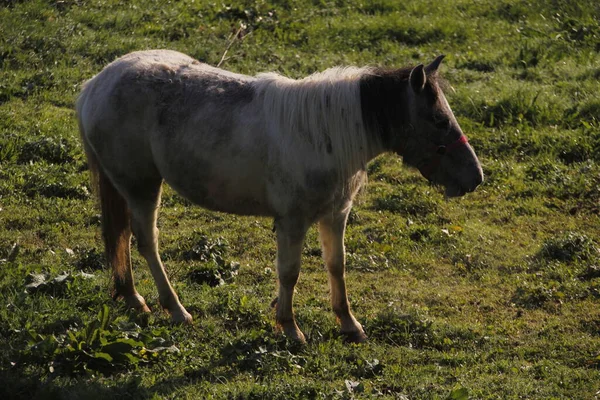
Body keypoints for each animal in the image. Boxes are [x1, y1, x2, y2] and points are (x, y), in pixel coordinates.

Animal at [77, 50, 486, 344]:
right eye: (439, 120)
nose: (476, 177)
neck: (326, 134)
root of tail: (94, 86)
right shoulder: (292, 221)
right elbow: (289, 273)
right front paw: (289, 327)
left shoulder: (335, 214)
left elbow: (336, 265)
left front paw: (348, 323)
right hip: (141, 186)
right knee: (145, 240)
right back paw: (173, 308)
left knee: (124, 238)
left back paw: (132, 297)